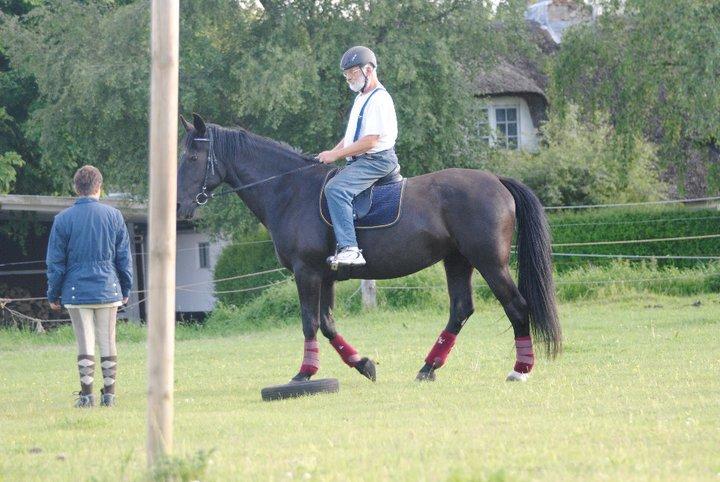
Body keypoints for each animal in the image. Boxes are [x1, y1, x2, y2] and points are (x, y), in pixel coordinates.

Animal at [177, 114, 560, 384]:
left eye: (193, 156)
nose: (180, 207)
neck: (289, 190)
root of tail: (496, 180)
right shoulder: (325, 276)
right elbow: (327, 324)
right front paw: (363, 365)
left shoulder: (306, 272)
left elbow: (309, 323)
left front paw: (304, 373)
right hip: (457, 261)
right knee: (461, 310)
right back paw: (428, 368)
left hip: (489, 262)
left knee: (516, 306)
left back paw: (520, 369)